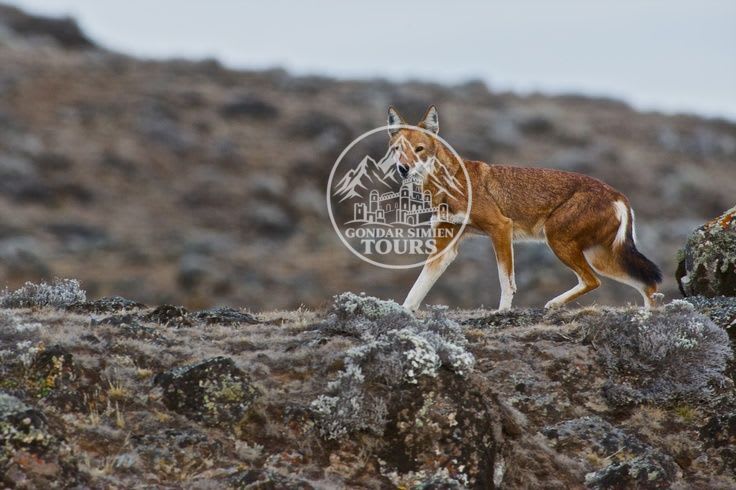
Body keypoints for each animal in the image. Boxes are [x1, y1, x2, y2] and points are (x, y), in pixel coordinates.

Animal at [387, 105, 662, 311]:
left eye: (419, 149)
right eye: (397, 150)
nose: (403, 169)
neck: (448, 183)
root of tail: (618, 194)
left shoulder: (500, 228)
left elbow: (506, 281)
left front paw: (502, 312)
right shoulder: (446, 246)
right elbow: (416, 289)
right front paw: (403, 314)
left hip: (559, 241)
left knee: (597, 281)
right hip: (601, 259)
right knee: (645, 285)